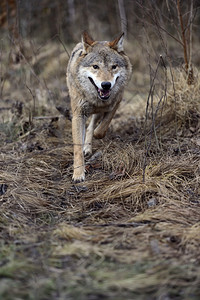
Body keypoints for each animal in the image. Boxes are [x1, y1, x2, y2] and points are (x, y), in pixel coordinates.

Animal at [66, 32, 132, 183]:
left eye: (114, 66)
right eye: (95, 66)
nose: (106, 85)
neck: (96, 100)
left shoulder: (116, 102)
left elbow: (101, 129)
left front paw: (96, 134)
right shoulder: (78, 115)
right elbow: (77, 148)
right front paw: (78, 174)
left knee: (92, 125)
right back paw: (86, 148)